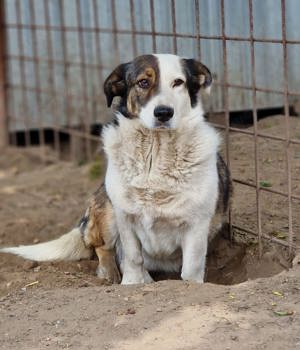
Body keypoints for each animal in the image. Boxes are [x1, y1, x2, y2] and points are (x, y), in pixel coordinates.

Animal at [0, 54, 232, 284]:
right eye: (143, 82)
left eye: (178, 82)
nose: (164, 112)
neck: (155, 154)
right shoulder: (125, 216)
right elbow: (132, 257)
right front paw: (132, 283)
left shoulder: (197, 224)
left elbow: (191, 269)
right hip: (108, 208)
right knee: (102, 247)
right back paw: (111, 273)